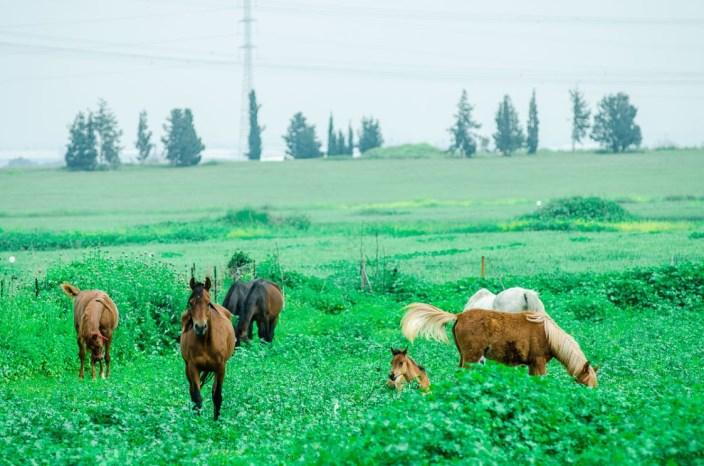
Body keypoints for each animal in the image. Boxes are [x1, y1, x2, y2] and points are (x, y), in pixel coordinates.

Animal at [179, 274, 236, 420]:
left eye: (208, 303)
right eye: (191, 303)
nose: (200, 327)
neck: (205, 342)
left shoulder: (221, 367)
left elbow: (217, 396)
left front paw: (216, 421)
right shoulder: (193, 367)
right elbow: (197, 397)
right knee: (192, 392)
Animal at [404, 304, 596, 388]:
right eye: (584, 384)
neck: (548, 334)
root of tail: (459, 315)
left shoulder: (532, 365)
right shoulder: (539, 362)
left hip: (464, 356)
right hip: (471, 358)